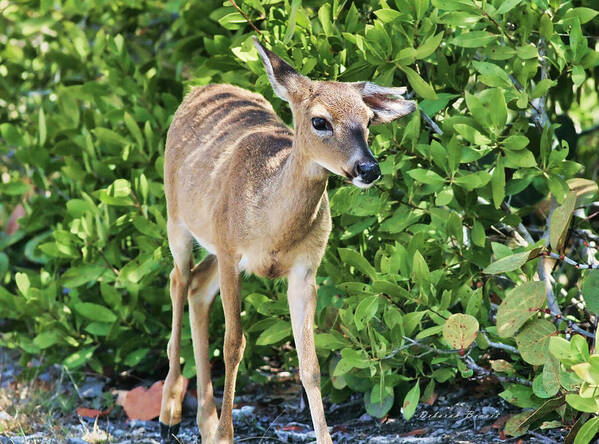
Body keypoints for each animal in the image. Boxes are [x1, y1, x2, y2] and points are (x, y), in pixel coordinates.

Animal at [157, 36, 414, 442]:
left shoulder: (305, 269)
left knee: (197, 287)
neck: (271, 228)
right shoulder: (231, 253)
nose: (369, 168)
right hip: (177, 219)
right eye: (320, 121)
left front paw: (324, 437)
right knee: (178, 280)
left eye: (368, 120)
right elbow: (234, 345)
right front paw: (227, 434)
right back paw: (170, 412)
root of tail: (204, 87)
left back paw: (205, 421)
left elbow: (310, 365)